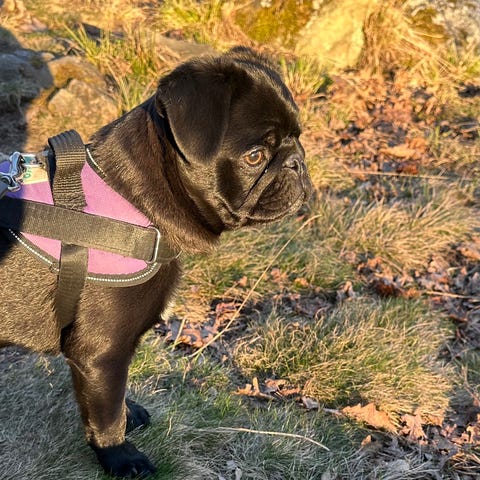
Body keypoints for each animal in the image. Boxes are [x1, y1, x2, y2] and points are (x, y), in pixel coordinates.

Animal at [0, 47, 312, 477]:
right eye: (255, 156)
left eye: (299, 138)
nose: (297, 162)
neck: (139, 203)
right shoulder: (101, 352)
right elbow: (105, 412)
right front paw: (121, 456)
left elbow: (116, 397)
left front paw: (128, 415)